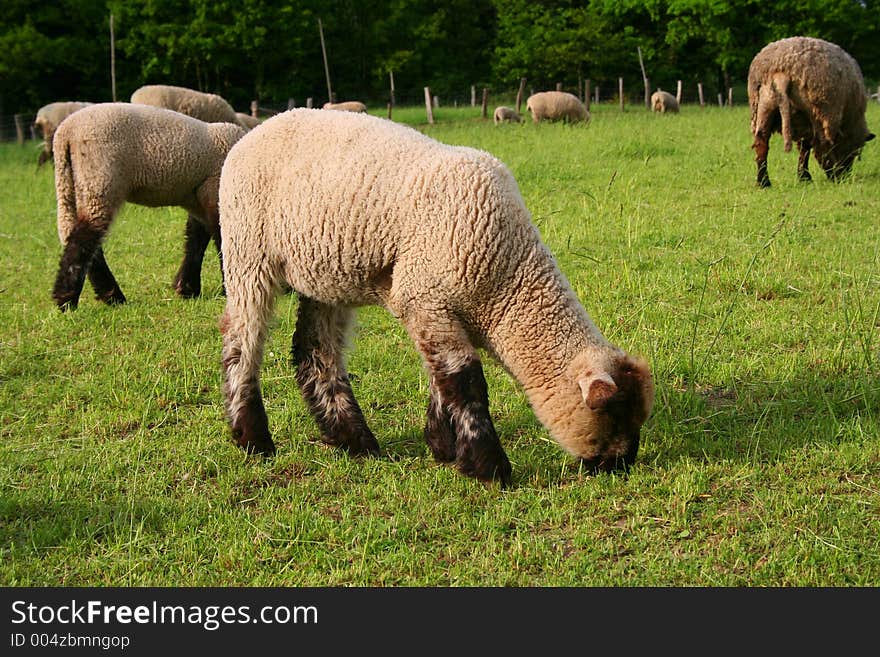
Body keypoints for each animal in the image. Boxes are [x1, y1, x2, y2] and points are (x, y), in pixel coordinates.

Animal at [50, 102, 248, 310]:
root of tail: (65, 133)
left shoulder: (199, 199)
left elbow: (195, 241)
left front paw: (186, 288)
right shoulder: (215, 190)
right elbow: (220, 239)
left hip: (71, 183)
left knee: (74, 234)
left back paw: (105, 295)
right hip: (100, 179)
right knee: (83, 240)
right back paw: (72, 299)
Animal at [218, 109, 652, 486]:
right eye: (614, 415)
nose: (623, 466)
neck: (507, 281)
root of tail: (260, 128)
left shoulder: (433, 309)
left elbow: (441, 378)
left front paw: (443, 447)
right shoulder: (425, 297)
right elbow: (466, 382)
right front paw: (489, 467)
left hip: (323, 272)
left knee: (315, 351)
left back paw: (354, 441)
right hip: (247, 253)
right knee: (242, 342)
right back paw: (253, 438)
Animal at [744, 36, 876, 186]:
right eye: (853, 151)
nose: (845, 176)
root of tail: (780, 70)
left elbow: (804, 148)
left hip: (763, 105)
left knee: (762, 142)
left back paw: (764, 182)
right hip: (818, 110)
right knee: (821, 144)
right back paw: (824, 175)